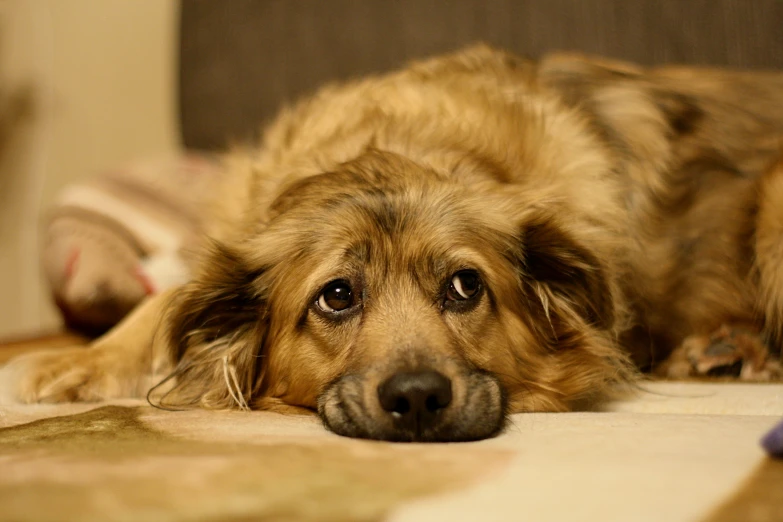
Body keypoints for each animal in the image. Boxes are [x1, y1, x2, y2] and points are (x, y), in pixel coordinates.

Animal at [4, 47, 783, 438]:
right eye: (336, 297)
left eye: (466, 287)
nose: (416, 400)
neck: (402, 147)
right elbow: (163, 301)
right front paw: (78, 361)